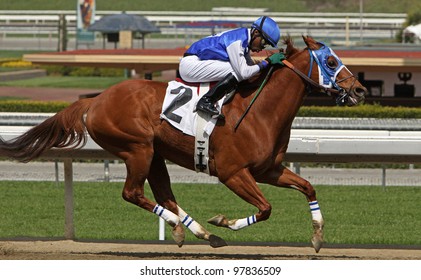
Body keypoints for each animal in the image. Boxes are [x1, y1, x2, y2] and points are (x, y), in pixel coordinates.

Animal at [0, 36, 364, 253]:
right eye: (331, 62)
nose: (359, 90)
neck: (259, 110)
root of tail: (96, 99)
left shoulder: (268, 170)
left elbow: (308, 187)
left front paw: (317, 236)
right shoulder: (233, 173)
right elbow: (266, 208)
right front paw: (224, 221)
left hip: (155, 154)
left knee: (164, 194)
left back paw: (199, 233)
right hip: (138, 149)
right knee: (133, 193)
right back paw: (187, 228)